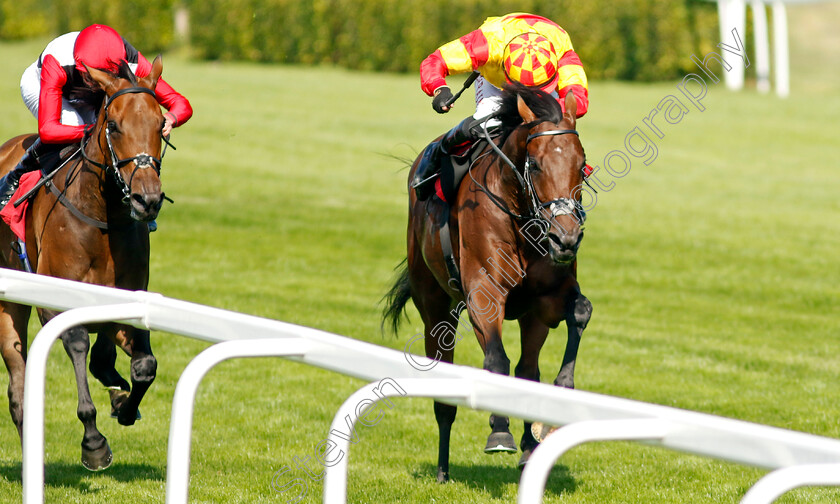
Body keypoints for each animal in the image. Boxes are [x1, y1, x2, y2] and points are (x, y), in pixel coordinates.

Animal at [0, 57, 169, 470]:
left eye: (160, 123)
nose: (147, 200)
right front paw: (94, 443)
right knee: (18, 385)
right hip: (9, 304)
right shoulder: (54, 301)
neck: (102, 217)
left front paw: (124, 403)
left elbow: (142, 365)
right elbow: (79, 347)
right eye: (114, 125)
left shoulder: (127, 296)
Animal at [384, 84, 592, 482]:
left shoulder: (547, 300)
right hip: (433, 306)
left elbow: (580, 312)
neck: (522, 220)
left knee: (527, 370)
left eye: (581, 163)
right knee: (445, 389)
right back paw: (443, 469)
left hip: (530, 316)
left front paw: (559, 399)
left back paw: (529, 446)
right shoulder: (484, 294)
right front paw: (499, 431)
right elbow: (496, 359)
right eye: (536, 164)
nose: (566, 238)